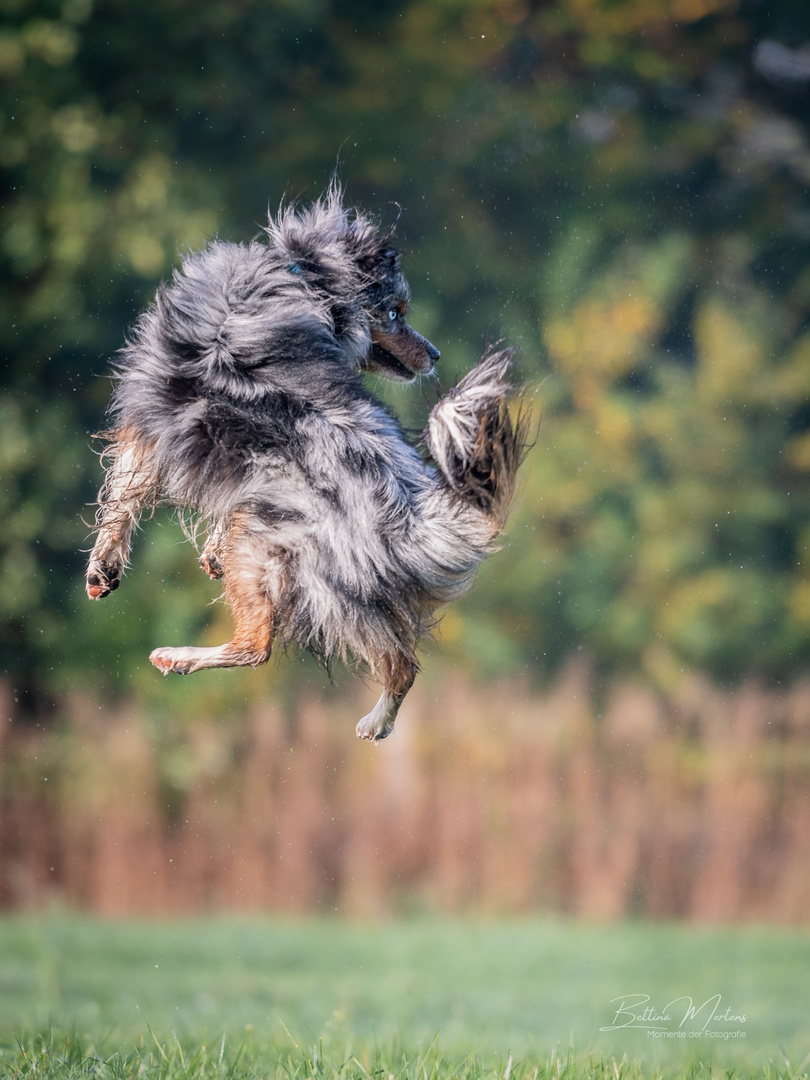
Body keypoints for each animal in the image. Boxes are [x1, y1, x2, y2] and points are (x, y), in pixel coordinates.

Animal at [87, 187, 527, 743]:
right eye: (394, 314)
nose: (435, 353)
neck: (306, 278)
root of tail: (411, 521)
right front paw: (199, 552)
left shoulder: (149, 424)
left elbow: (122, 496)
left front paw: (102, 568)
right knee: (396, 664)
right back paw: (375, 721)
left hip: (260, 549)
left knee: (264, 648)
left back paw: (179, 658)